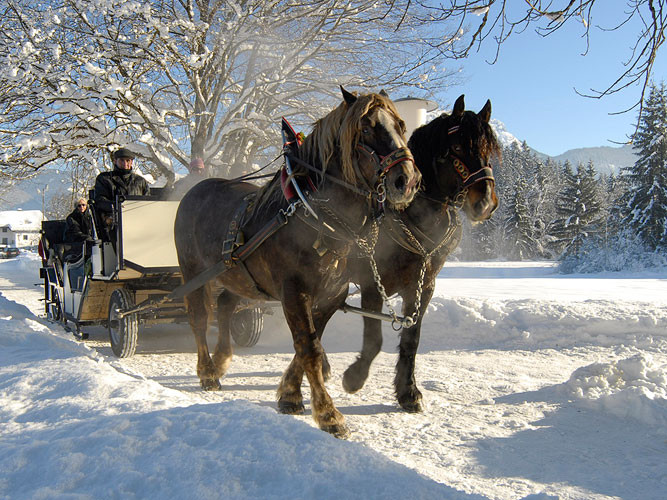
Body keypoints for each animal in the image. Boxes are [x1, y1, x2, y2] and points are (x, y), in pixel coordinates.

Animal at [175, 88, 420, 436]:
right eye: (367, 128)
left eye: (401, 125)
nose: (407, 180)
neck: (314, 213)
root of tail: (195, 189)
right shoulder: (294, 292)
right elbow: (309, 349)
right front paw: (328, 414)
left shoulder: (332, 295)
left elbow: (308, 344)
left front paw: (290, 394)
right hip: (193, 272)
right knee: (198, 318)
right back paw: (208, 371)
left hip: (238, 275)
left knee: (224, 308)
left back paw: (222, 360)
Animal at [344, 94, 500, 410]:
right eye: (456, 148)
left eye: (488, 148)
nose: (485, 203)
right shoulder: (372, 283)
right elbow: (374, 339)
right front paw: (354, 377)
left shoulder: (423, 286)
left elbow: (411, 338)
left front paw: (407, 391)